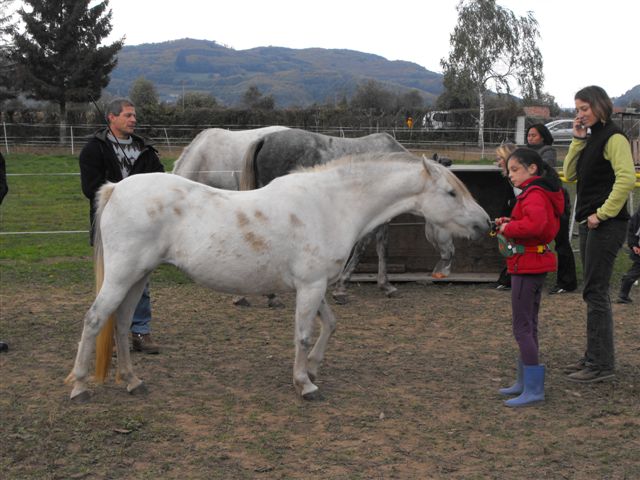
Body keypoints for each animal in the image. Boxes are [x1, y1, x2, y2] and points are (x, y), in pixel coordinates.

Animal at [66, 152, 490, 404]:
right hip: (123, 275)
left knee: (121, 323)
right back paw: (80, 385)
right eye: (451, 192)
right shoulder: (310, 286)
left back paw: (131, 380)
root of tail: (116, 188)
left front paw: (314, 367)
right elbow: (303, 334)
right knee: (95, 319)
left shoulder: (316, 286)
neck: (330, 205)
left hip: (138, 277)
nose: (485, 224)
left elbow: (331, 324)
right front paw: (305, 384)